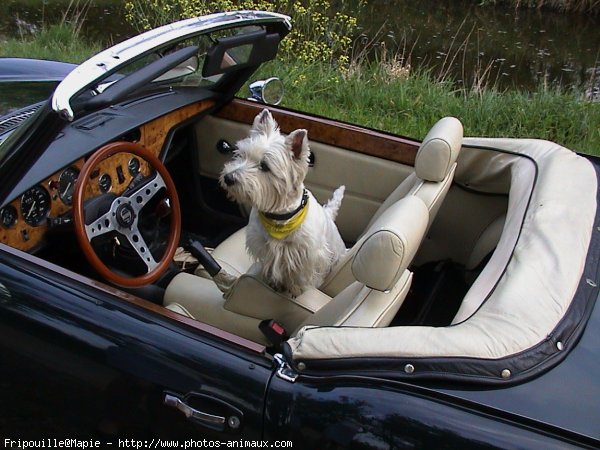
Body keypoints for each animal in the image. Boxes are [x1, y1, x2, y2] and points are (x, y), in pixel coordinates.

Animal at [219, 110, 346, 298]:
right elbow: (273, 266)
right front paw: (274, 281)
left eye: (265, 166)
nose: (228, 178)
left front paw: (295, 288)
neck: (279, 216)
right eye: (241, 154)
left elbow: (300, 273)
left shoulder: (309, 253)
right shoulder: (264, 245)